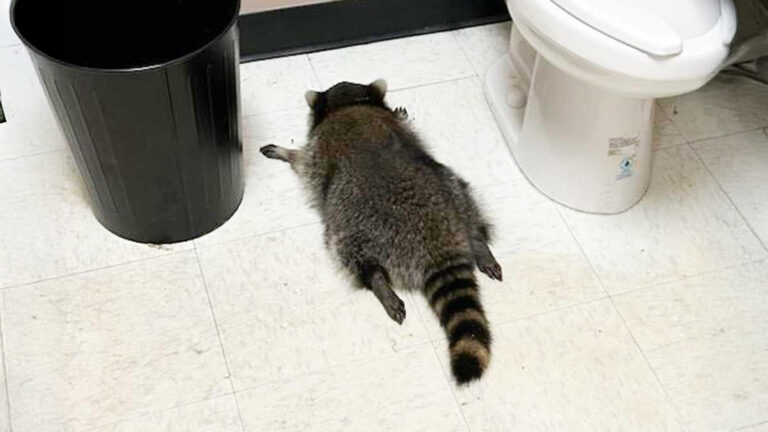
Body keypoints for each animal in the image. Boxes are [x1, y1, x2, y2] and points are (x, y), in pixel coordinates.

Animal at [259, 79, 502, 384]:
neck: (350, 104)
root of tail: (438, 243)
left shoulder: (318, 152)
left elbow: (303, 161)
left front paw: (286, 152)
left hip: (355, 225)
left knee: (349, 252)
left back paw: (377, 281)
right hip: (453, 188)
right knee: (465, 201)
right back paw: (478, 242)